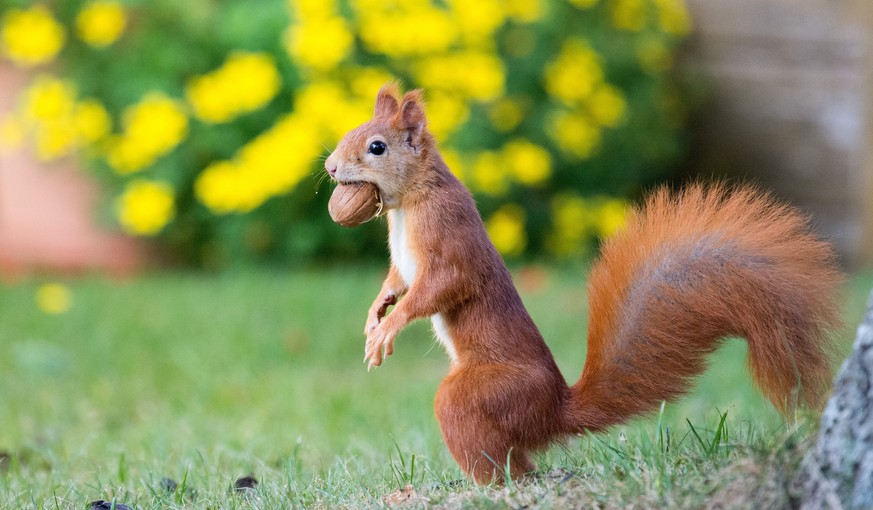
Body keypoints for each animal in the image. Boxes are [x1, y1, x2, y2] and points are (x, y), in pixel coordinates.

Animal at [324, 82, 840, 482]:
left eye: (376, 147)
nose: (329, 167)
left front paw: (390, 329)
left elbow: (441, 287)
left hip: (483, 395)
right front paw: (377, 312)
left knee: (504, 461)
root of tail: (554, 411)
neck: (408, 204)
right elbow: (396, 280)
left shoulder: (448, 236)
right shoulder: (403, 261)